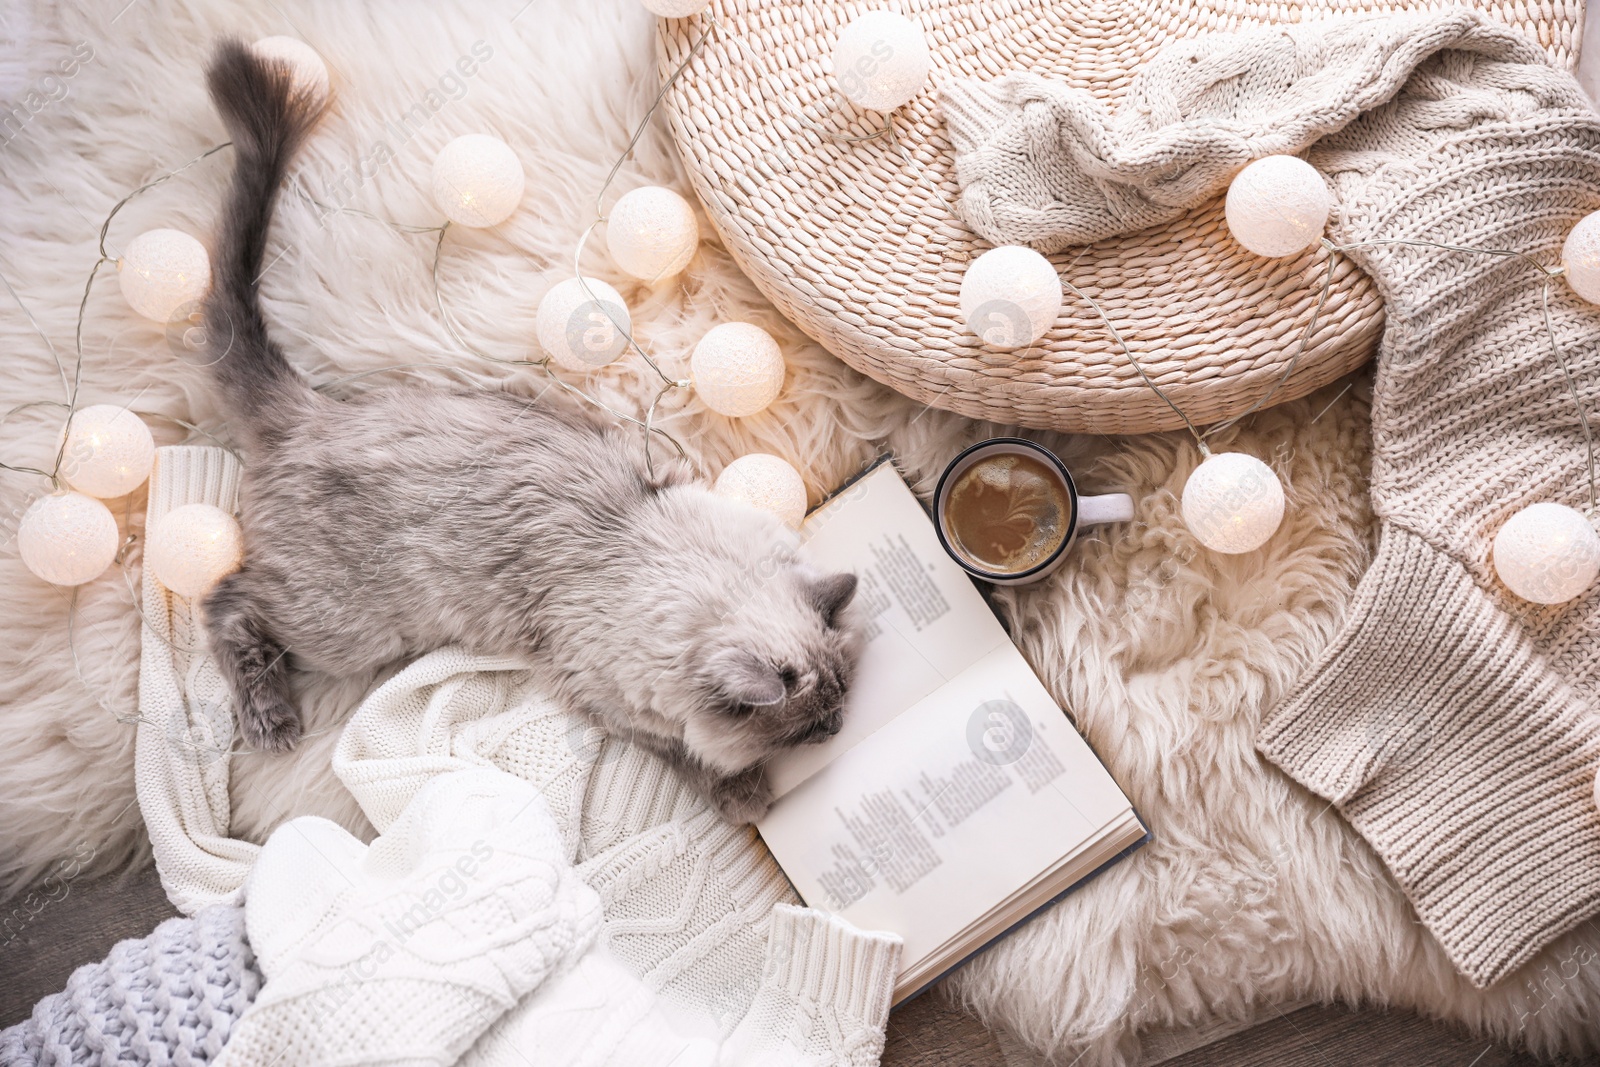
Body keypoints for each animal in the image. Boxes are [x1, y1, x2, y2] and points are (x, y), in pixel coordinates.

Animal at [200, 41, 864, 825]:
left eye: (841, 700)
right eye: (808, 729)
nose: (841, 726)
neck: (655, 557)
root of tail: (305, 410)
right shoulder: (611, 698)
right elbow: (684, 753)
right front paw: (744, 796)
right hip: (348, 631)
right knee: (227, 600)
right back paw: (269, 718)